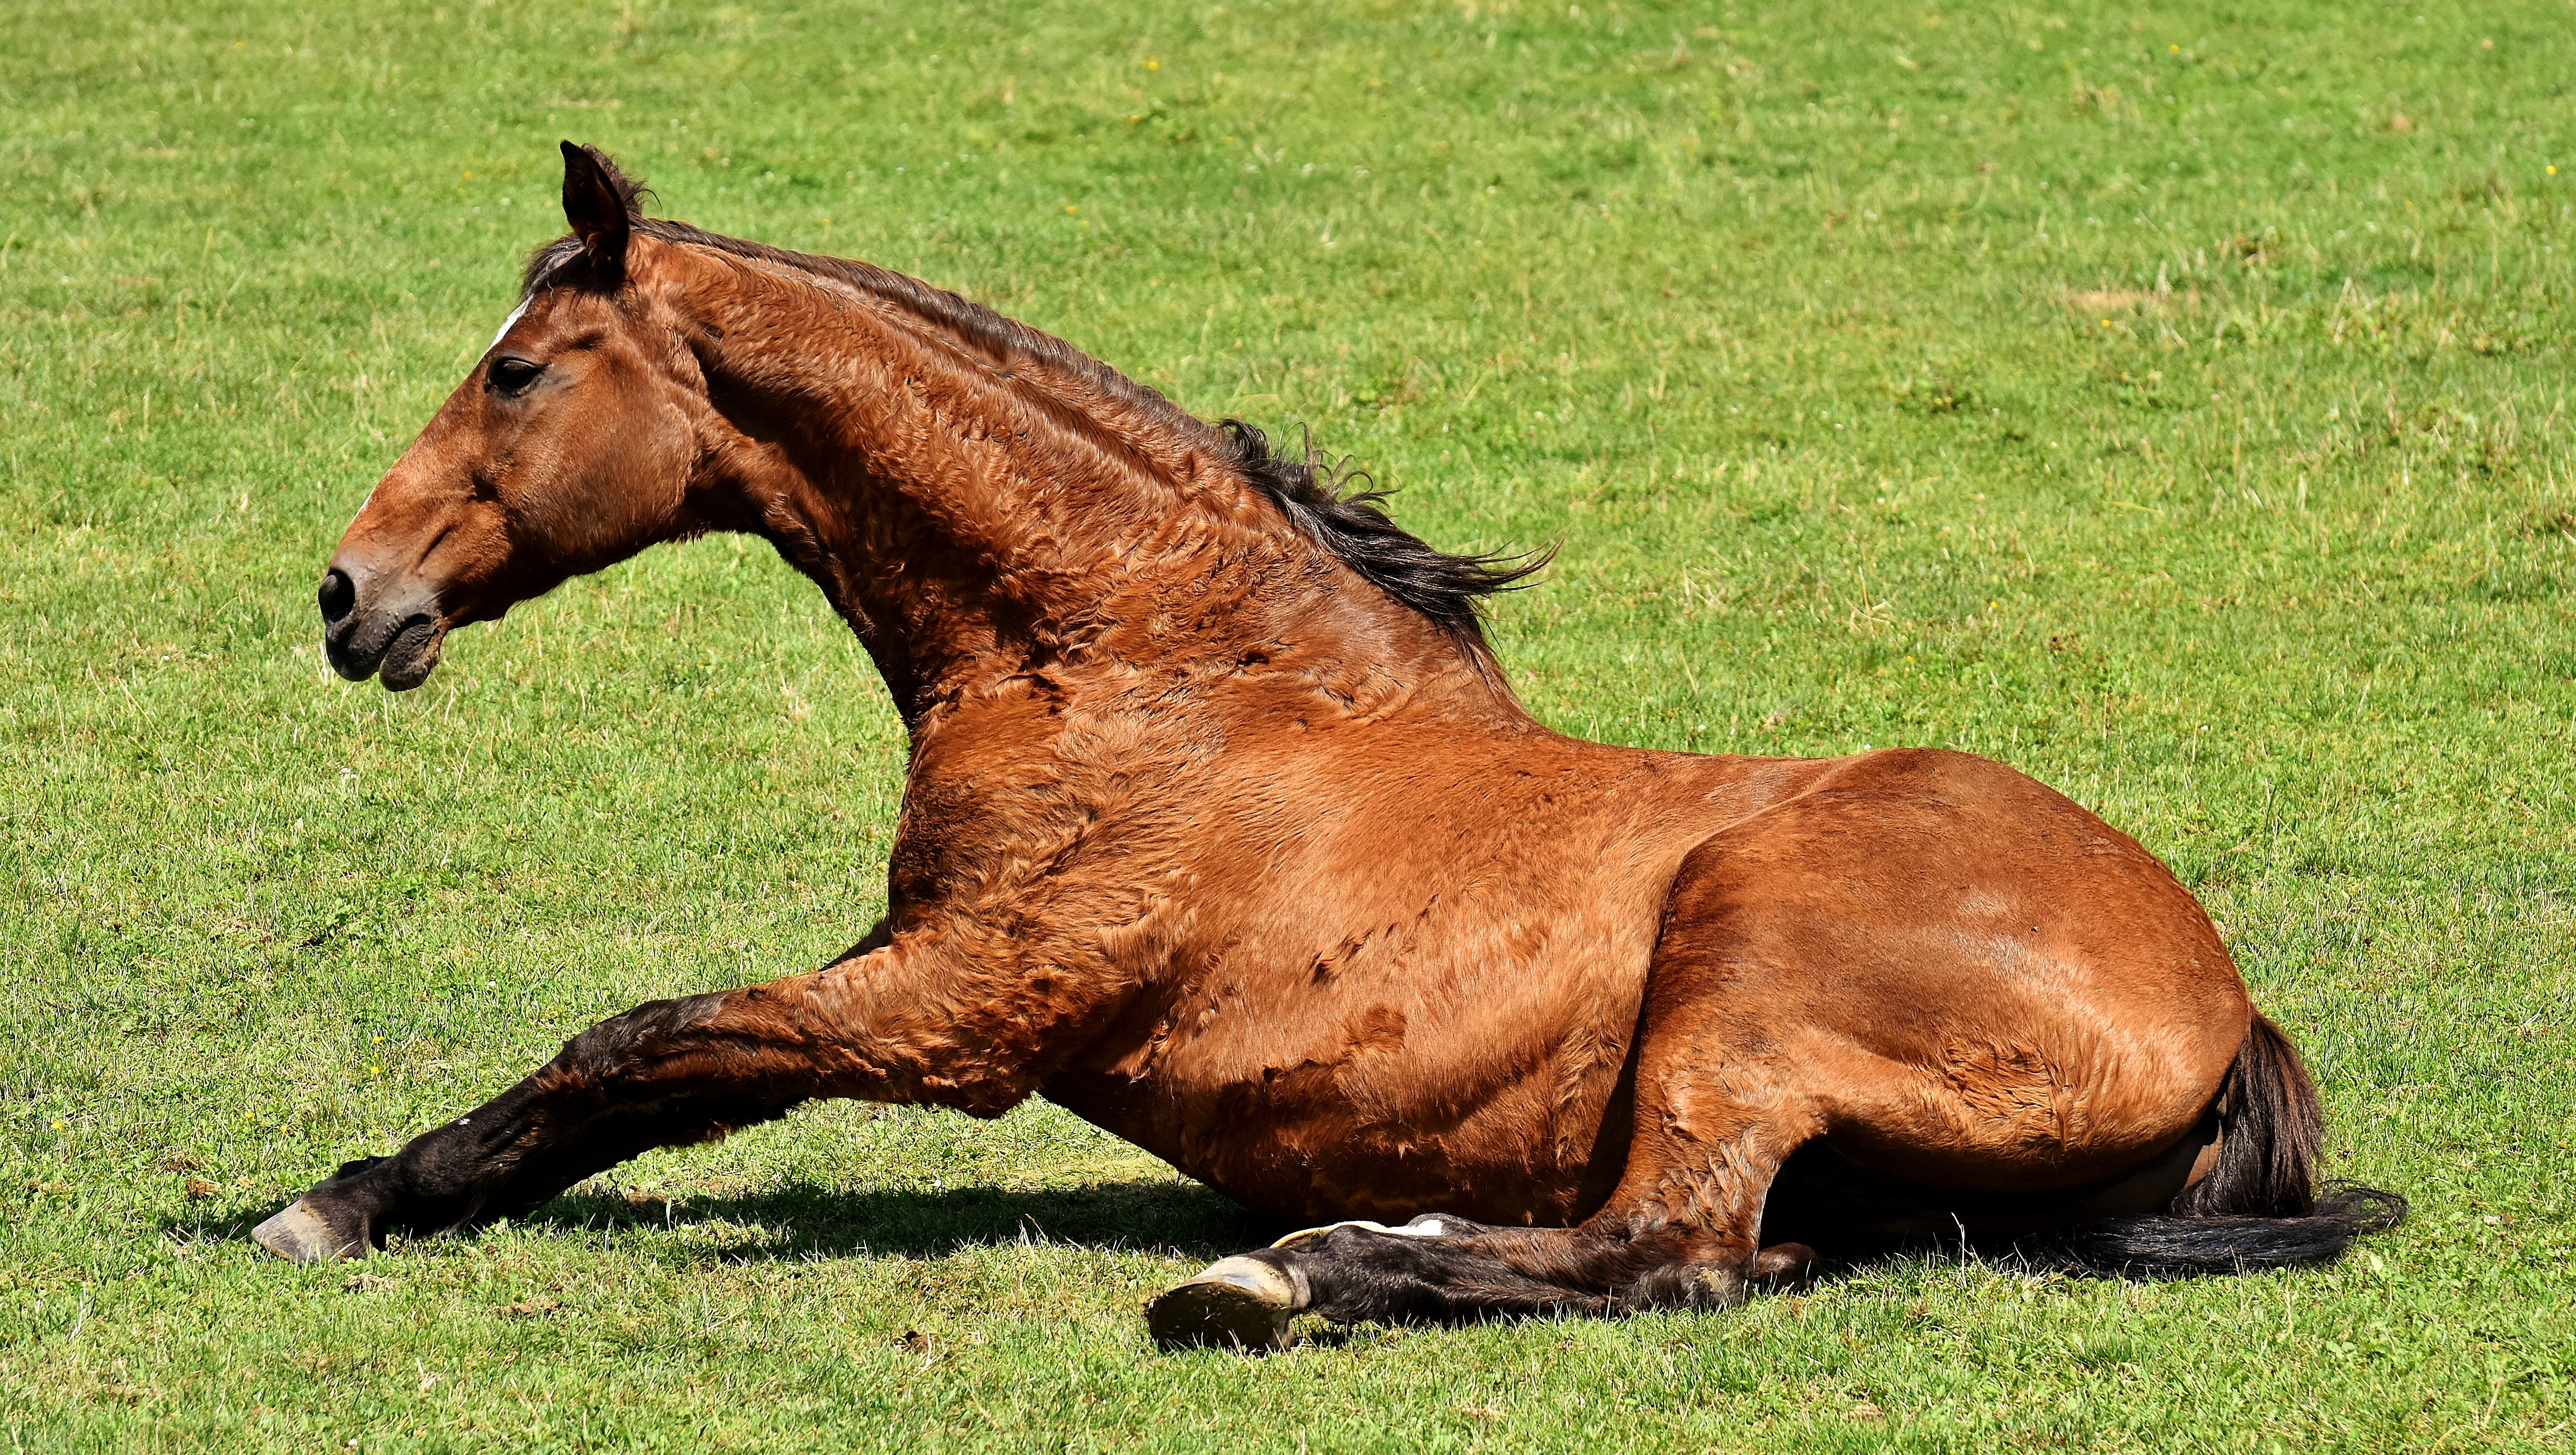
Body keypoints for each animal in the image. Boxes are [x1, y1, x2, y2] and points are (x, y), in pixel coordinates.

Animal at [256, 142, 2390, 1349]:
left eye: (518, 371)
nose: (352, 593)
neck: (1158, 667)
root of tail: (2227, 1005)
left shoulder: (960, 1008)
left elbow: (639, 1044)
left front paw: (342, 1200)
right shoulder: (921, 968)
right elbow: (653, 1065)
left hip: (1744, 965)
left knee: (1674, 1252)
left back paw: (1288, 1272)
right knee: (1736, 1250)